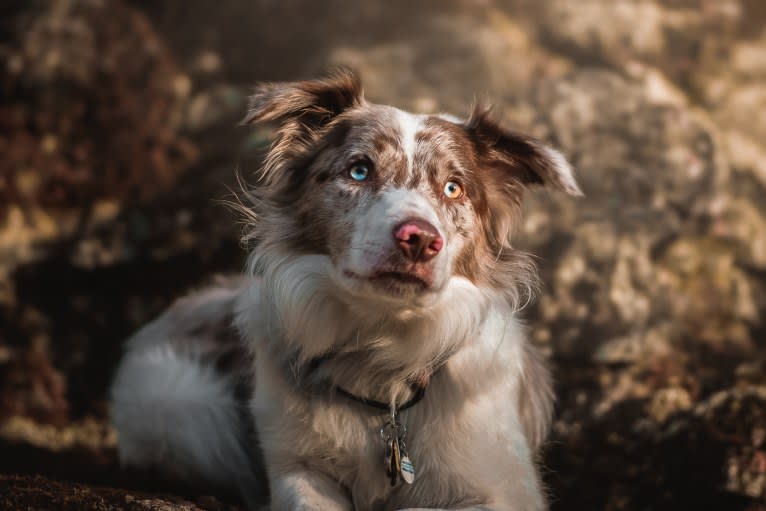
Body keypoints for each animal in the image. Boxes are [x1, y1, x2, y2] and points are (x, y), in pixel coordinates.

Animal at [111, 69, 584, 511]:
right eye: (360, 170)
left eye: (453, 188)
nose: (419, 240)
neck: (382, 363)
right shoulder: (296, 466)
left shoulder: (505, 487)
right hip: (177, 406)